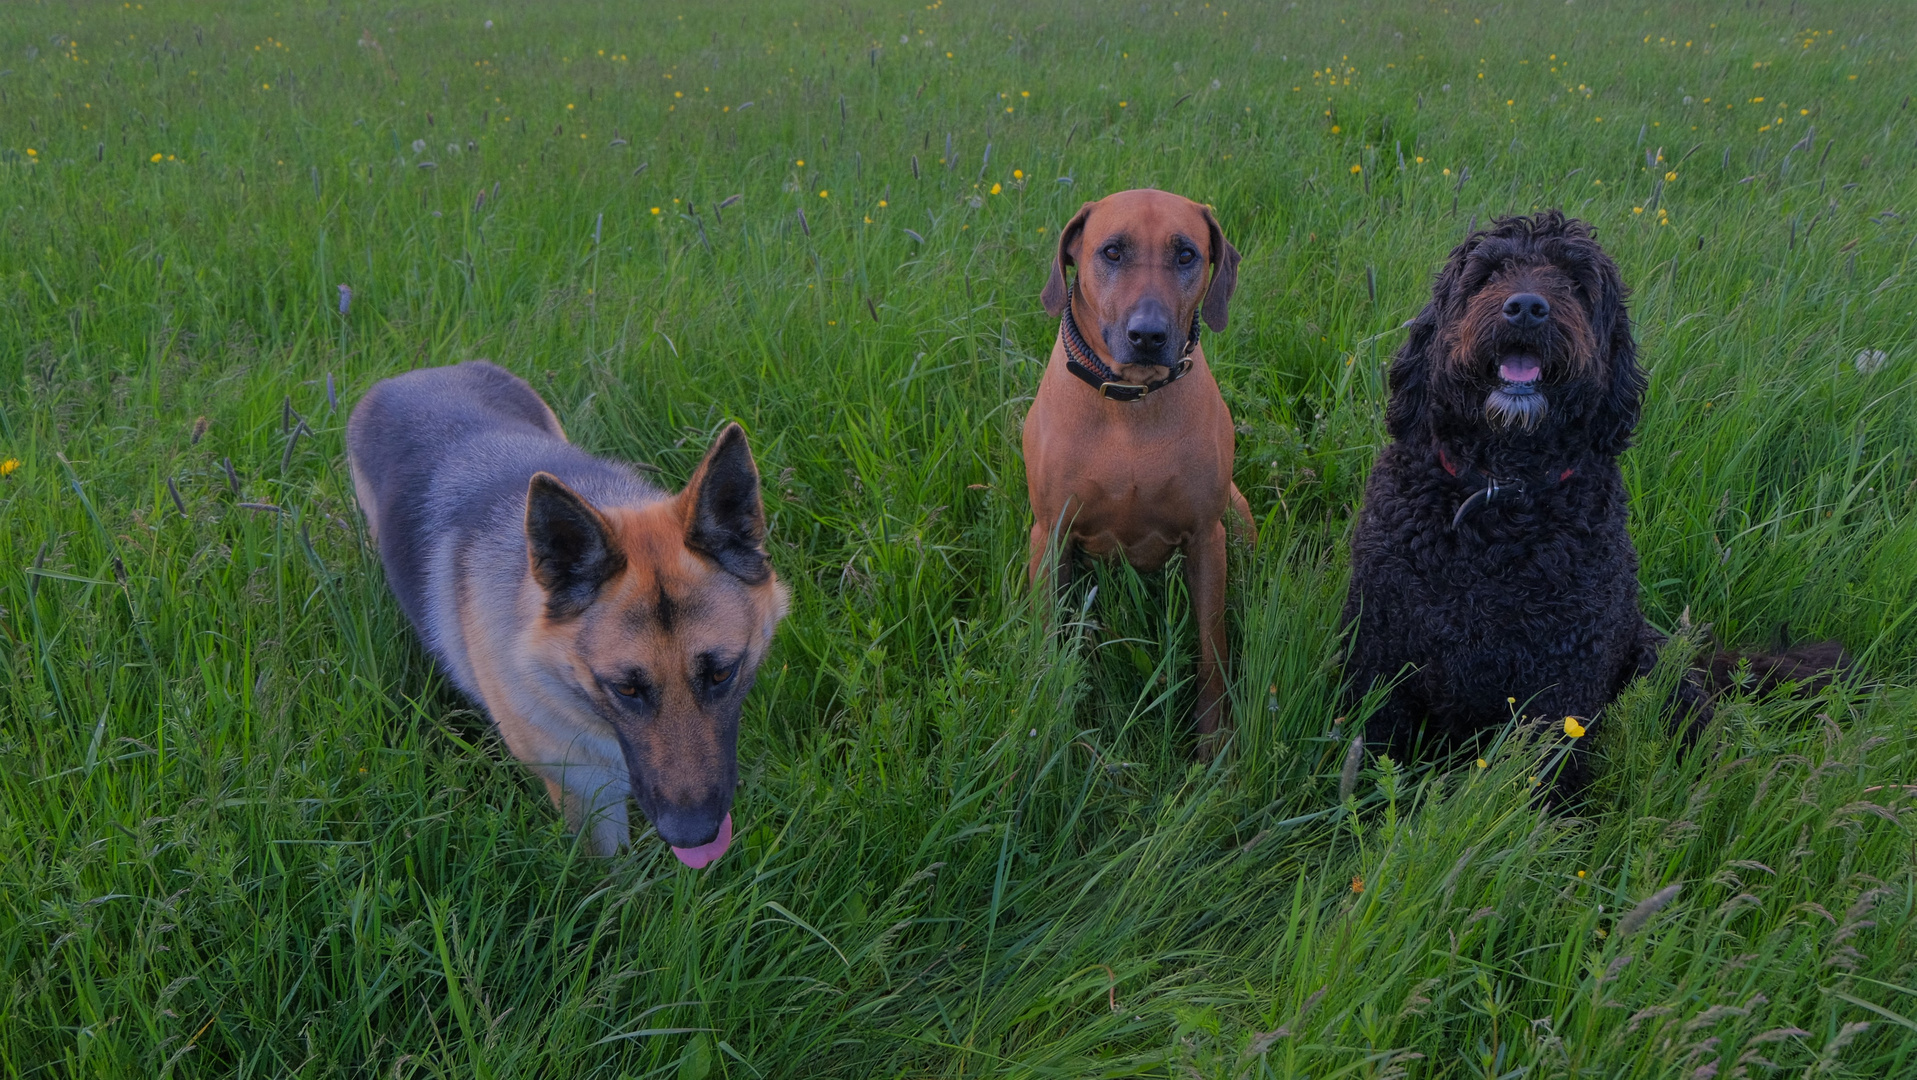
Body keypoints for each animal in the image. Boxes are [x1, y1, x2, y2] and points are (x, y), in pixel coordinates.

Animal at [1027, 189, 1249, 748]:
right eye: (1112, 251)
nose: (1148, 335)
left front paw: (1214, 744)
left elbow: (1212, 649)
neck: (1130, 403)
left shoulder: (1207, 539)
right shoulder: (1050, 535)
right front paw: (1049, 719)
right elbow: (1048, 636)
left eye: (1187, 254)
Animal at [1341, 211, 1847, 778]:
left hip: (1653, 663)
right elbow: (1373, 743)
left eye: (1576, 283)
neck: (1503, 497)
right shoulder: (1380, 655)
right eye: (1487, 274)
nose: (1526, 308)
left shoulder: (1564, 682)